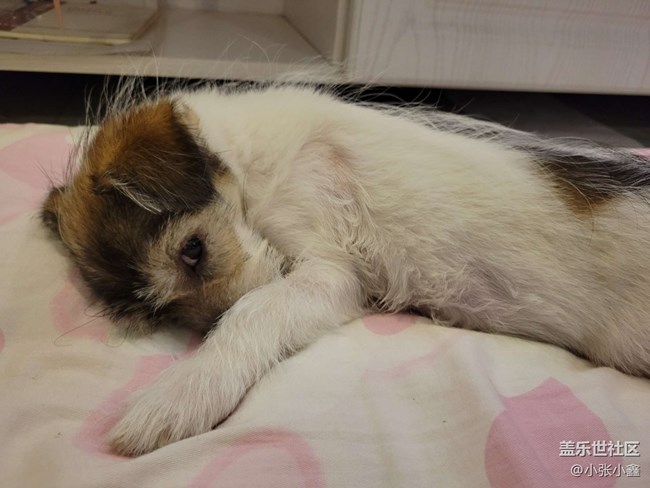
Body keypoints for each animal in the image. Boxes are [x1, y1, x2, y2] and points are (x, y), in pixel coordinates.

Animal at [41, 81, 650, 456]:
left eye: (193, 251)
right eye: (159, 311)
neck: (250, 160)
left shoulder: (332, 271)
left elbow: (253, 311)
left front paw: (181, 393)